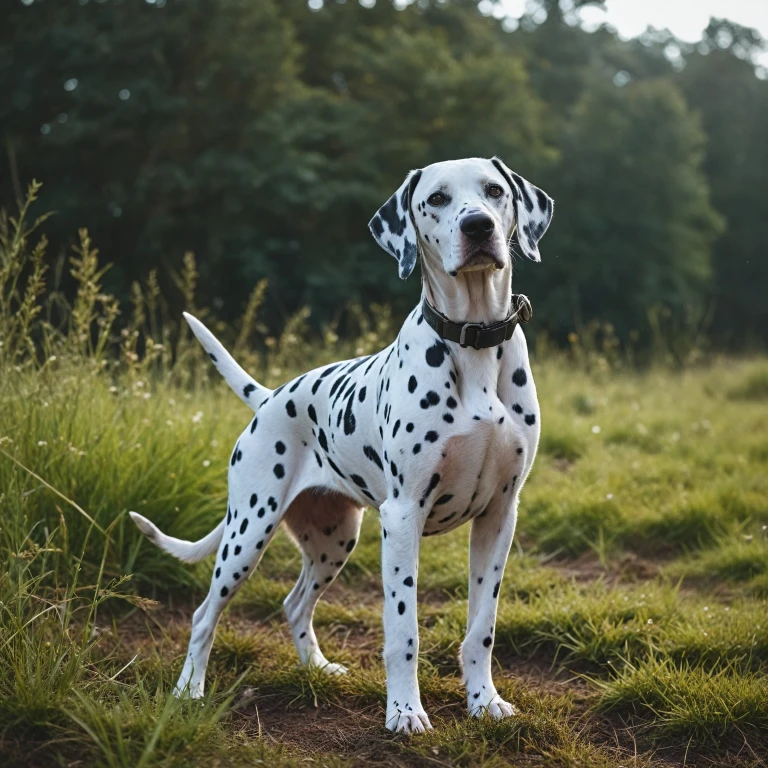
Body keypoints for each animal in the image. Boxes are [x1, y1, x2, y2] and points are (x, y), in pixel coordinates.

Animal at [132, 156, 552, 732]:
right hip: (248, 533)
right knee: (203, 615)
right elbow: (403, 630)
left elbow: (481, 629)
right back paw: (188, 690)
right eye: (437, 198)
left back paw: (317, 668)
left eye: (494, 191)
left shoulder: (498, 517)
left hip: (334, 539)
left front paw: (484, 702)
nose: (478, 226)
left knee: (294, 605)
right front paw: (405, 712)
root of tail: (270, 398)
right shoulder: (402, 519)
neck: (473, 341)